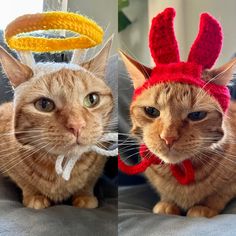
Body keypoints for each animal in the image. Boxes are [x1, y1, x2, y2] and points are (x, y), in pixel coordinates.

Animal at [0, 39, 114, 210]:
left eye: (92, 99)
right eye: (44, 104)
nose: (77, 125)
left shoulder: (98, 165)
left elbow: (89, 182)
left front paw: (85, 196)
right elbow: (25, 183)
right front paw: (35, 196)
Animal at [121, 52, 236, 218]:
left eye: (197, 115)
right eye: (151, 111)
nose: (168, 138)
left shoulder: (229, 186)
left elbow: (219, 195)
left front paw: (204, 207)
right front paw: (168, 203)